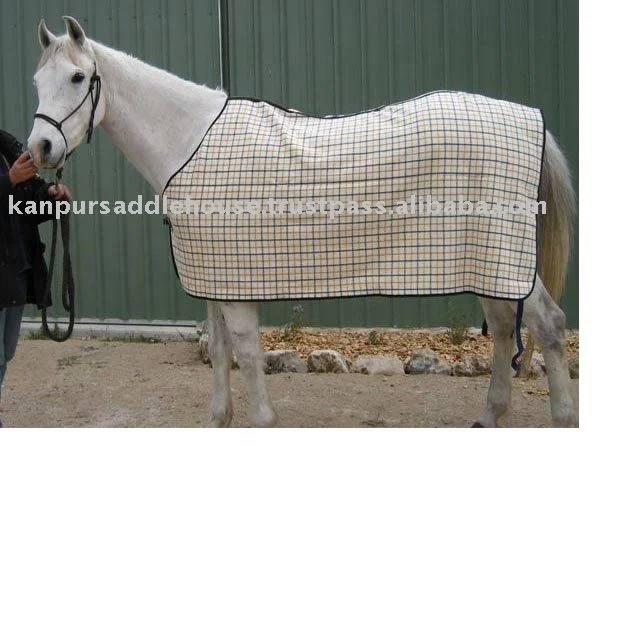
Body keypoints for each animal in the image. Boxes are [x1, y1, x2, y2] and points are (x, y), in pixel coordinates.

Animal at [27, 17, 577, 427]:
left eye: (78, 78)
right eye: (37, 82)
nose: (40, 149)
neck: (190, 144)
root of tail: (530, 120)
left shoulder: (238, 282)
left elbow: (247, 354)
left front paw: (263, 421)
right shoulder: (213, 278)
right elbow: (220, 355)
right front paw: (220, 419)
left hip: (504, 256)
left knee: (548, 327)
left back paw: (561, 417)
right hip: (489, 264)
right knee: (506, 329)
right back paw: (490, 415)